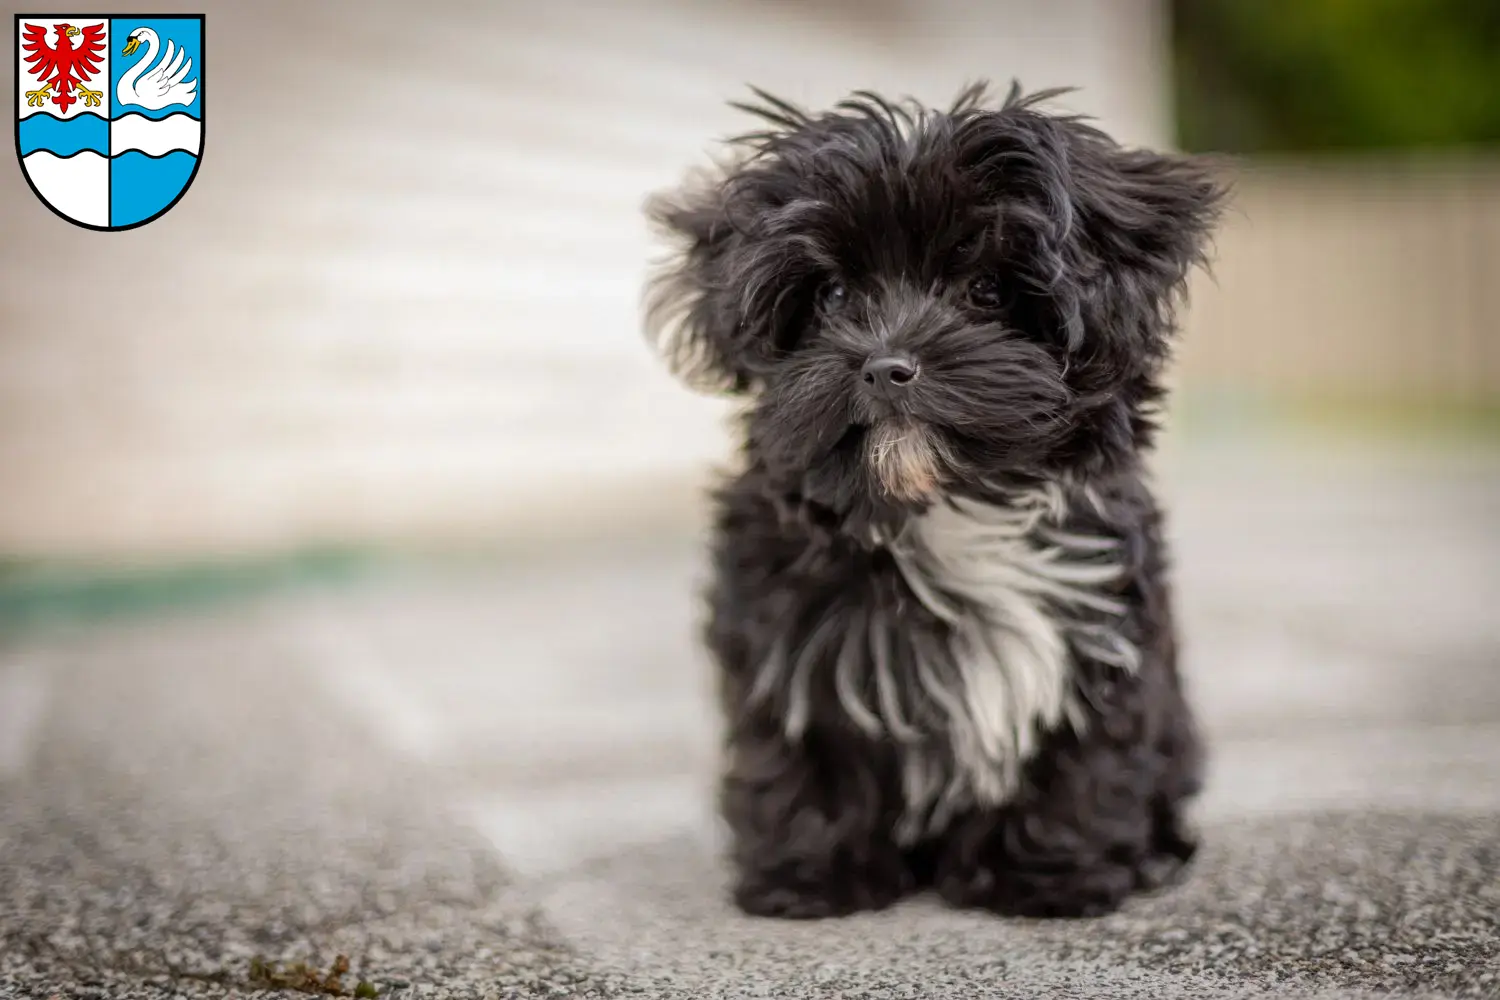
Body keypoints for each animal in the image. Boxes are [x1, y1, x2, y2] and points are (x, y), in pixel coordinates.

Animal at [639, 82, 1224, 917]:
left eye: (985, 288)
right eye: (833, 294)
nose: (887, 365)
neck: (946, 507)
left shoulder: (1102, 631)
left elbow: (1085, 755)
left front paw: (1053, 876)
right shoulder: (785, 635)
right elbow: (801, 746)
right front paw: (812, 876)